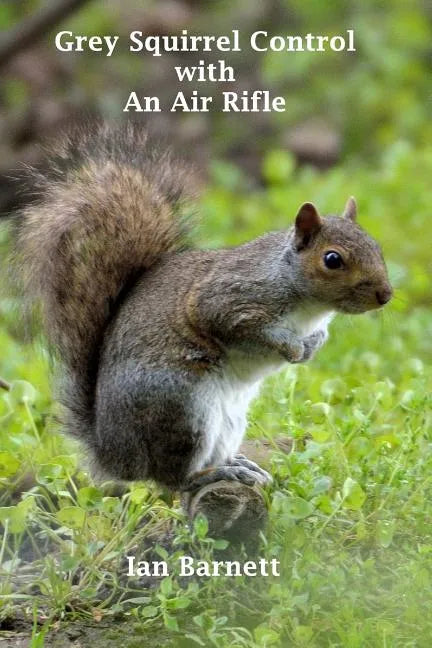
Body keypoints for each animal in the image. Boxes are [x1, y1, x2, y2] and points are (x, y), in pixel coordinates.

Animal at [12, 123, 392, 492]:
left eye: (376, 246)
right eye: (332, 260)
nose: (386, 295)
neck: (307, 306)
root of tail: (115, 456)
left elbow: (317, 336)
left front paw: (312, 346)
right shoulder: (228, 299)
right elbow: (240, 326)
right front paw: (291, 348)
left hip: (228, 420)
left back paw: (238, 466)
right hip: (183, 410)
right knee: (172, 480)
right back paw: (213, 474)